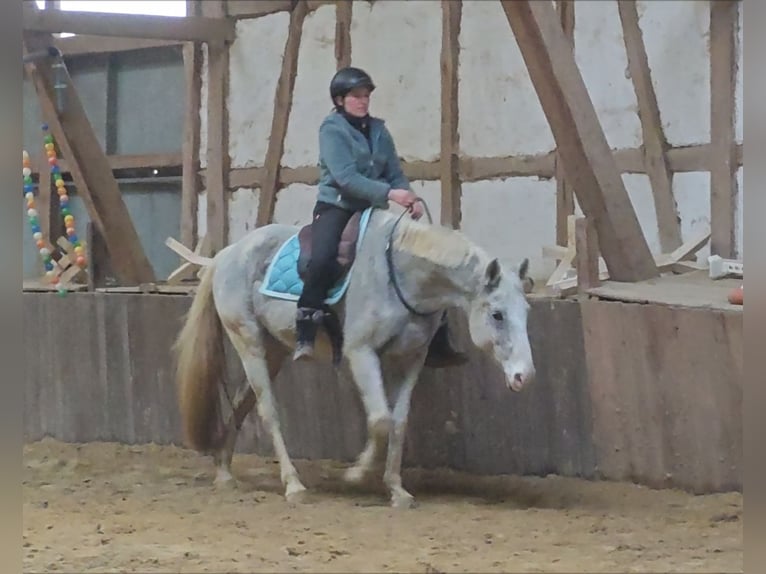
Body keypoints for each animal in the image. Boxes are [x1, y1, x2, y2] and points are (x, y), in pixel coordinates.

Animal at [172, 205, 536, 510]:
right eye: (498, 315)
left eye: (526, 311)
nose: (524, 376)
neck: (403, 276)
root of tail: (225, 254)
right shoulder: (361, 353)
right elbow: (380, 420)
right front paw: (356, 474)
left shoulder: (411, 359)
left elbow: (398, 421)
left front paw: (397, 490)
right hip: (248, 343)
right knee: (268, 412)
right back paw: (293, 485)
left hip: (273, 350)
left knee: (240, 404)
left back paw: (224, 472)